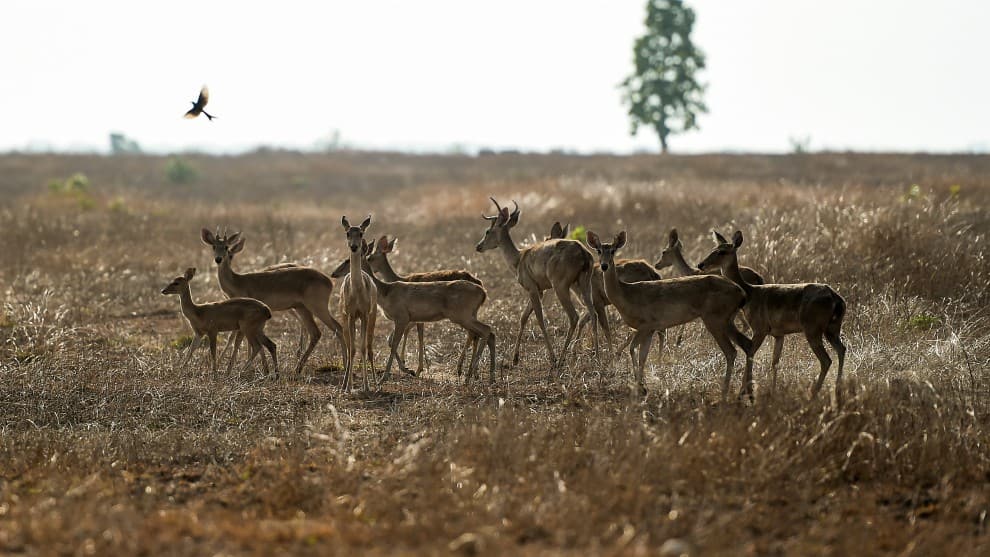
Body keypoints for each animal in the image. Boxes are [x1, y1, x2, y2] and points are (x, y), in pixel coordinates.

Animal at [202, 228, 348, 374]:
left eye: (226, 247)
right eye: (214, 246)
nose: (218, 259)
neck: (237, 281)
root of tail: (329, 280)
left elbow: (237, 339)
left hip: (317, 308)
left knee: (337, 328)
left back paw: (344, 366)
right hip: (302, 308)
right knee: (315, 332)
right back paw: (298, 368)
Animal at [352, 239, 496, 384]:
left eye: (368, 257)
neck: (386, 291)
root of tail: (482, 291)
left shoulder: (404, 318)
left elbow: (396, 342)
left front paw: (396, 374)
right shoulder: (413, 319)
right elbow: (399, 340)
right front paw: (411, 369)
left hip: (462, 317)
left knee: (484, 330)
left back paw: (468, 375)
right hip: (469, 316)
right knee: (485, 334)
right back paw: (485, 377)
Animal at [476, 199, 601, 368]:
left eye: (488, 231)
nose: (478, 246)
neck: (518, 259)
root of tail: (583, 253)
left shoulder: (532, 289)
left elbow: (540, 319)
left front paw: (552, 358)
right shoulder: (538, 291)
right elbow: (523, 317)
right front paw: (515, 359)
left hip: (561, 287)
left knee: (574, 316)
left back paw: (561, 360)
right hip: (584, 284)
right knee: (593, 313)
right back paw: (597, 358)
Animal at [586, 230, 753, 398]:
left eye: (613, 250)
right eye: (598, 250)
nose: (604, 265)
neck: (626, 294)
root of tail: (741, 293)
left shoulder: (646, 325)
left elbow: (633, 349)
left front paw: (639, 386)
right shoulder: (650, 329)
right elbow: (642, 357)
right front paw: (643, 387)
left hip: (715, 319)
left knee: (731, 351)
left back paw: (725, 393)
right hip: (727, 320)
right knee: (747, 344)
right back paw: (745, 392)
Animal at [697, 230, 847, 402]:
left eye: (722, 251)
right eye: (713, 248)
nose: (701, 264)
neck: (750, 293)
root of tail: (837, 299)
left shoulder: (760, 327)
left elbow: (750, 353)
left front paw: (745, 393)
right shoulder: (778, 333)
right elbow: (774, 361)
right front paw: (772, 390)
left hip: (813, 327)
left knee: (826, 359)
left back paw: (814, 393)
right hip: (832, 327)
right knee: (842, 349)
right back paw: (838, 389)